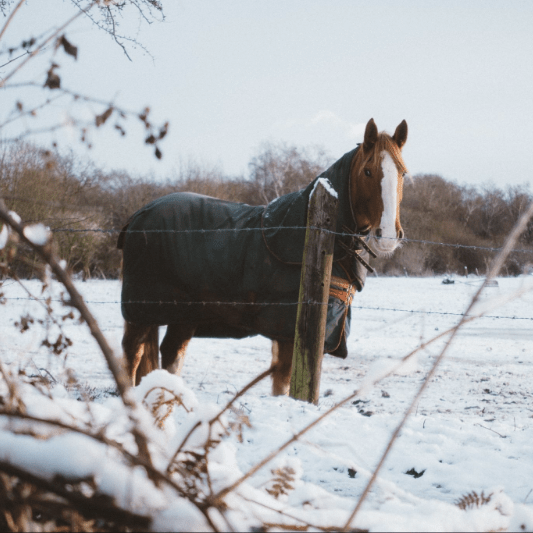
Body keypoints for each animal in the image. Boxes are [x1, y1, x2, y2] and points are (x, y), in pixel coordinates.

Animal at [116, 119, 408, 394]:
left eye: (403, 172)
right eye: (368, 171)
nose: (388, 236)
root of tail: (139, 215)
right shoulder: (289, 333)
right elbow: (284, 386)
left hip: (183, 315)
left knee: (171, 354)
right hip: (140, 312)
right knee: (132, 354)